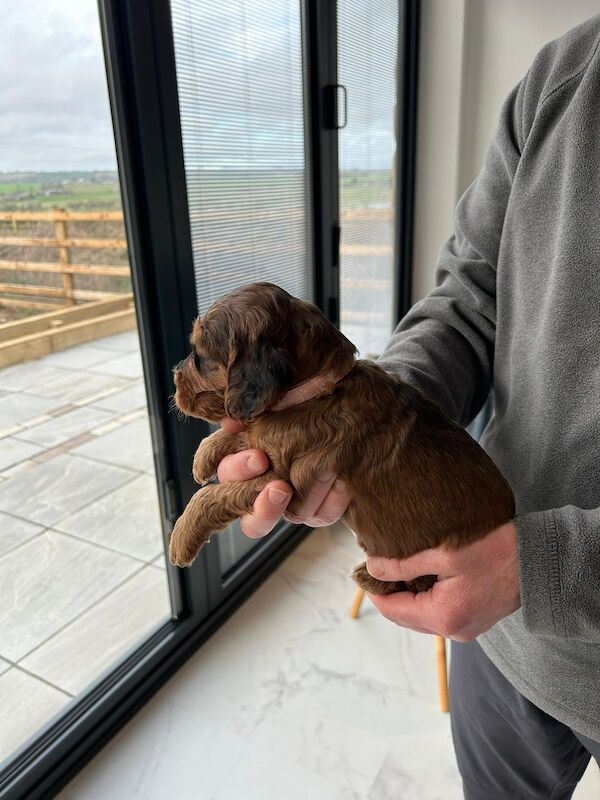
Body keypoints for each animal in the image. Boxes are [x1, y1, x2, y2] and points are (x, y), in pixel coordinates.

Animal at [170, 282, 516, 592]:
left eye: (199, 356)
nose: (174, 377)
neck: (318, 390)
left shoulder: (281, 479)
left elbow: (210, 496)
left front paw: (180, 539)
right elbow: (246, 434)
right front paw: (204, 457)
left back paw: (371, 578)